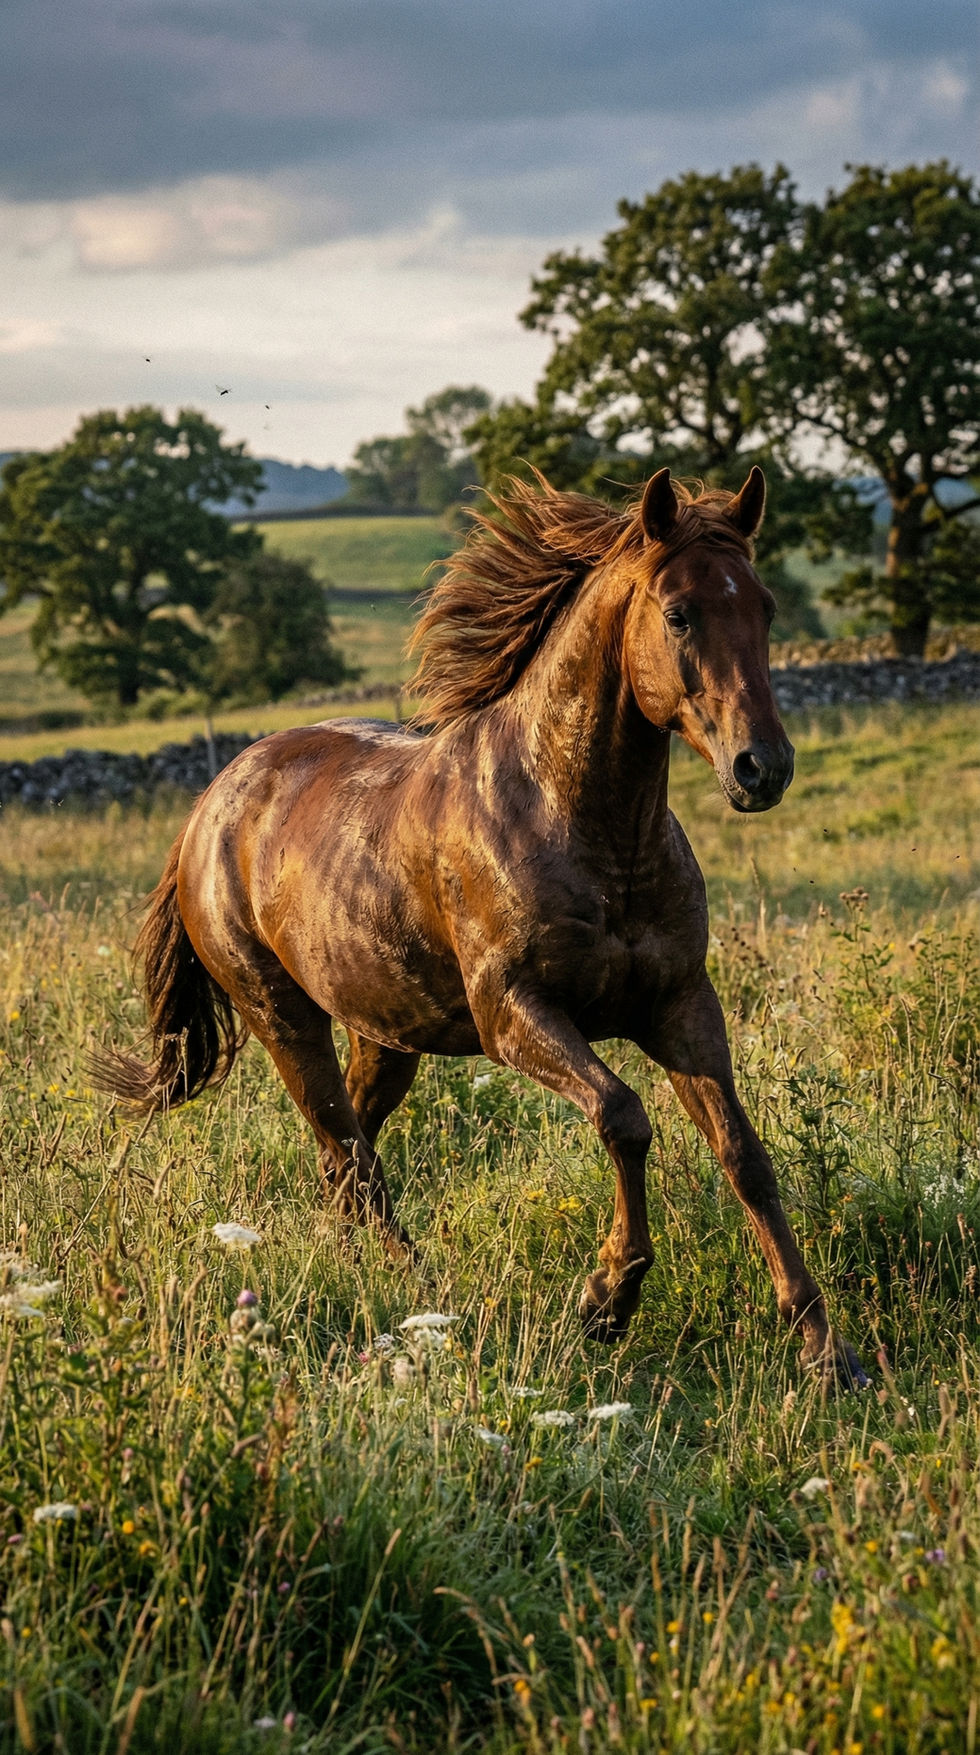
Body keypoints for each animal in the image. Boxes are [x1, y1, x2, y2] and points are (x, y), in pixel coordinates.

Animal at [94, 465, 866, 1385]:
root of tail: (209, 806)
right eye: (680, 612)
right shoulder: (514, 1014)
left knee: (344, 1152)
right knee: (350, 1156)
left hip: (384, 1036)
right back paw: (425, 1292)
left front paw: (826, 1349)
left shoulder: (683, 1006)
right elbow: (624, 1117)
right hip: (281, 1017)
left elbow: (745, 1156)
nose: (762, 768)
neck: (582, 824)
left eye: (767, 607)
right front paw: (606, 1299)